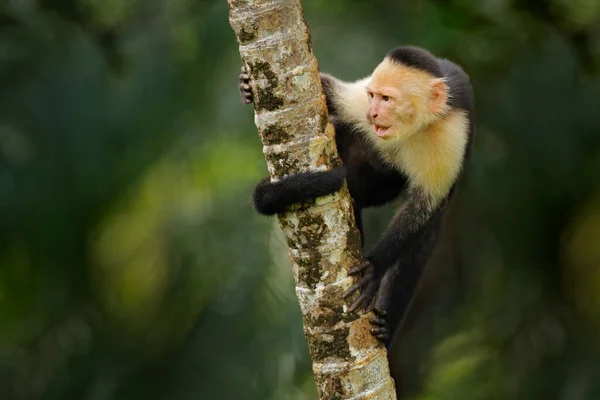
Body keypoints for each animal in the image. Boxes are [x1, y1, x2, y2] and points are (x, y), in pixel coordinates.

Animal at [238, 47, 474, 352]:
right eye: (374, 96)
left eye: (387, 99)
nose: (373, 113)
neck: (410, 128)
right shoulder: (360, 101)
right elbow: (329, 93)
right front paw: (246, 84)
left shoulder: (450, 135)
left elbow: (425, 207)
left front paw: (374, 267)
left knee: (423, 237)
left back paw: (385, 325)